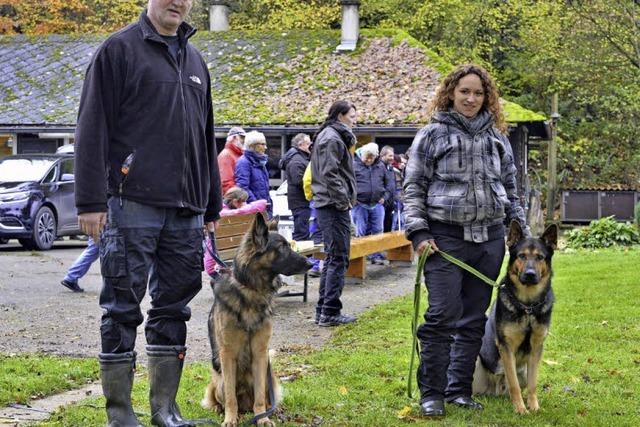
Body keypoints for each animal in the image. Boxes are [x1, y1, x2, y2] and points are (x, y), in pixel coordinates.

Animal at [200, 216, 310, 426]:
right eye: (282, 247)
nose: (310, 263)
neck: (250, 290)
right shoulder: (227, 355)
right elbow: (231, 397)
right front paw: (230, 419)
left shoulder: (260, 353)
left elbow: (259, 397)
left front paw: (262, 418)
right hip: (218, 380)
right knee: (220, 397)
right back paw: (221, 410)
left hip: (270, 375)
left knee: (264, 398)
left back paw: (271, 410)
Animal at [472, 221, 556, 414]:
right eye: (522, 256)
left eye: (540, 257)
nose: (530, 274)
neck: (527, 306)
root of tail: (494, 391)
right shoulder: (506, 348)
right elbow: (513, 384)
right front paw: (520, 409)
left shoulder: (536, 349)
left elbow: (532, 384)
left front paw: (533, 406)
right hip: (477, 361)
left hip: (523, 371)